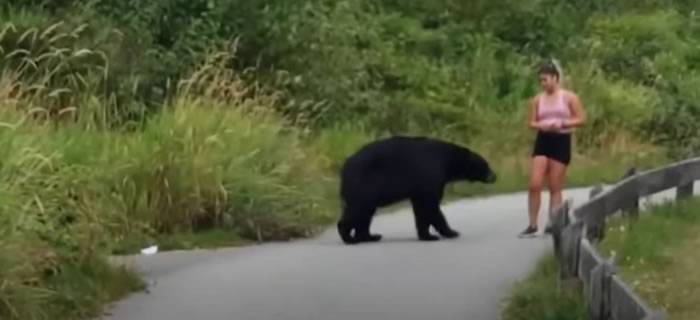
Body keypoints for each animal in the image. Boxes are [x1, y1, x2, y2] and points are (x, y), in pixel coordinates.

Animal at [336, 136, 494, 245]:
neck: (447, 161)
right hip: (363, 186)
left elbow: (421, 210)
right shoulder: (430, 175)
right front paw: (449, 232)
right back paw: (350, 238)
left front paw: (427, 235)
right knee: (357, 210)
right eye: (486, 165)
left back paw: (370, 236)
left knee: (365, 214)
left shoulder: (420, 189)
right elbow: (431, 207)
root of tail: (344, 168)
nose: (495, 176)